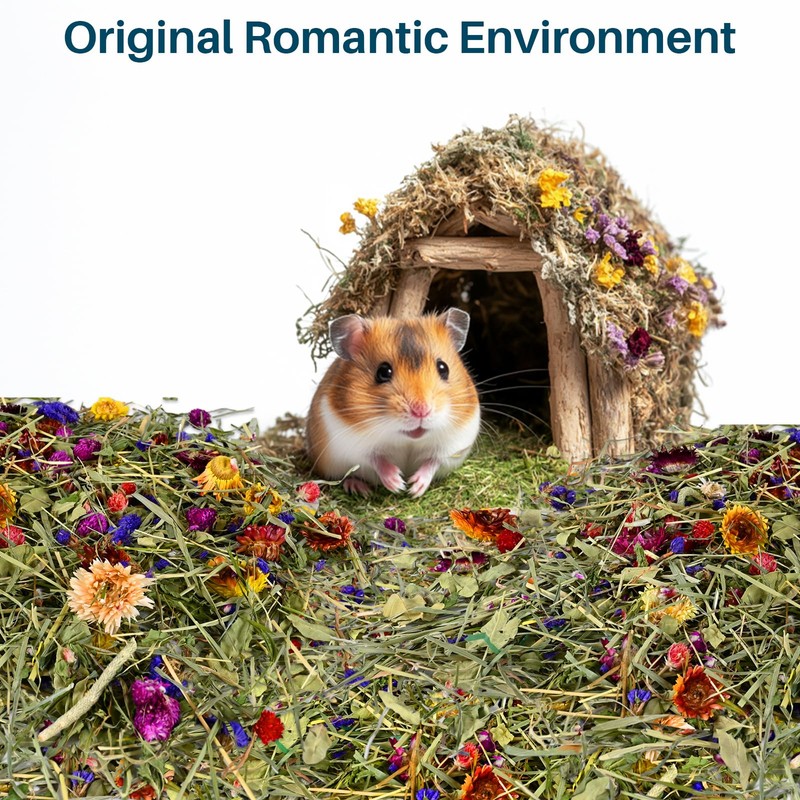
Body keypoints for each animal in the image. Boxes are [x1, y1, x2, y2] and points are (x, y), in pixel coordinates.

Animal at [305, 309, 480, 498]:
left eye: (443, 368)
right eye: (383, 372)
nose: (421, 411)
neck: (407, 439)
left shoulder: (453, 445)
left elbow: (433, 461)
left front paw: (414, 488)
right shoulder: (352, 444)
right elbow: (376, 459)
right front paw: (398, 484)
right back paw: (359, 488)